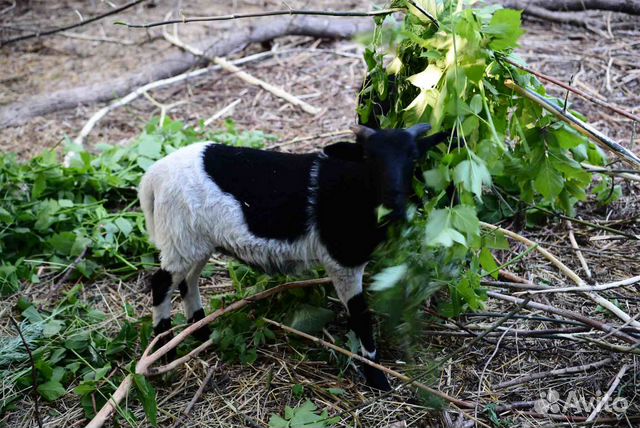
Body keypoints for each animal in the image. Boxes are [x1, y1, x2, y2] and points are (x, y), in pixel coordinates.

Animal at [138, 123, 442, 392]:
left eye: (413, 156)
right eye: (369, 157)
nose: (393, 201)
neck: (357, 192)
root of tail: (153, 177)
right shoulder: (342, 262)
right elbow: (361, 315)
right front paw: (377, 377)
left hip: (195, 242)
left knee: (188, 282)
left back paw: (201, 331)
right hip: (181, 238)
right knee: (161, 284)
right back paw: (163, 351)